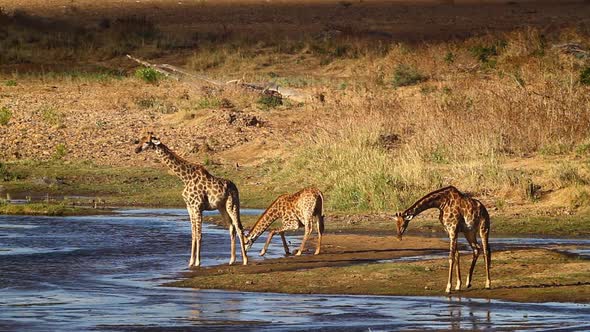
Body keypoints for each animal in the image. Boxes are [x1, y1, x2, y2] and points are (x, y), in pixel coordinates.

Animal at [135, 132, 249, 268]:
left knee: (239, 228)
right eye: (139, 139)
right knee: (231, 227)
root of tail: (235, 187)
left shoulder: (197, 207)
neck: (185, 178)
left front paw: (198, 262)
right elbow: (193, 234)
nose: (136, 150)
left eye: (147, 142)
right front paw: (190, 262)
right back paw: (231, 260)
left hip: (232, 205)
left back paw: (245, 260)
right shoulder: (189, 207)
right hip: (222, 207)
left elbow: (199, 234)